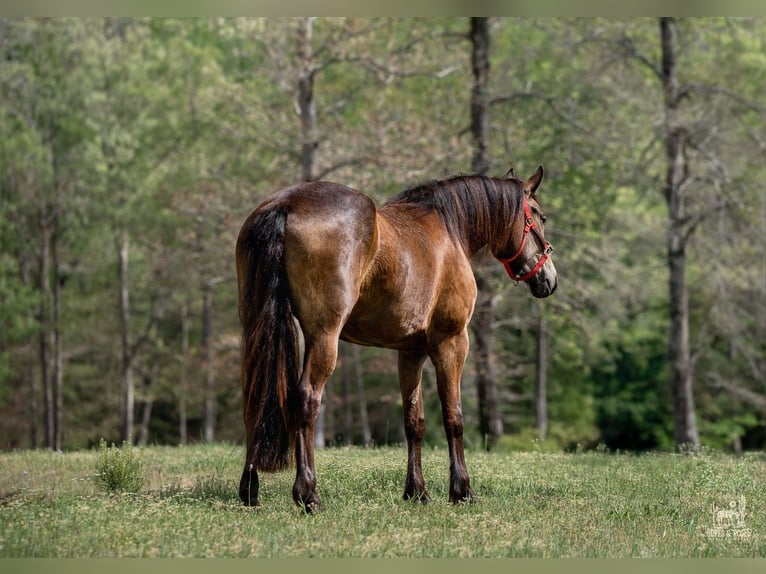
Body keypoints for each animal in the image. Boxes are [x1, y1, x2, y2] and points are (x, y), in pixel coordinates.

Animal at [235, 166, 557, 512]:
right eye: (540, 216)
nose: (549, 278)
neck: (450, 230)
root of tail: (287, 203)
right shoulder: (452, 342)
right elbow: (453, 417)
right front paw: (462, 490)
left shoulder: (410, 353)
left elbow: (414, 422)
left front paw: (416, 491)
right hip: (323, 337)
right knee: (306, 398)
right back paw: (308, 493)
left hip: (259, 327)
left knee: (256, 395)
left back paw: (249, 490)